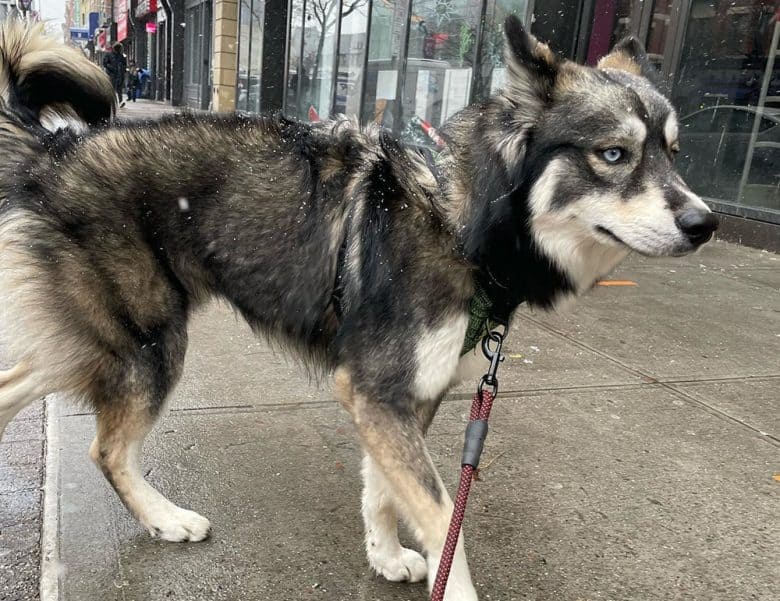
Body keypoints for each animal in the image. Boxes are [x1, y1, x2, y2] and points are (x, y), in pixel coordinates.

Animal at [0, 16, 716, 596]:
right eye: (614, 155)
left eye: (674, 153)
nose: (705, 223)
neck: (460, 221)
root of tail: (57, 151)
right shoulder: (377, 391)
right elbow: (442, 519)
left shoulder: (400, 397)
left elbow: (384, 492)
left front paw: (385, 554)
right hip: (145, 343)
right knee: (108, 451)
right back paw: (165, 518)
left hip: (93, 339)